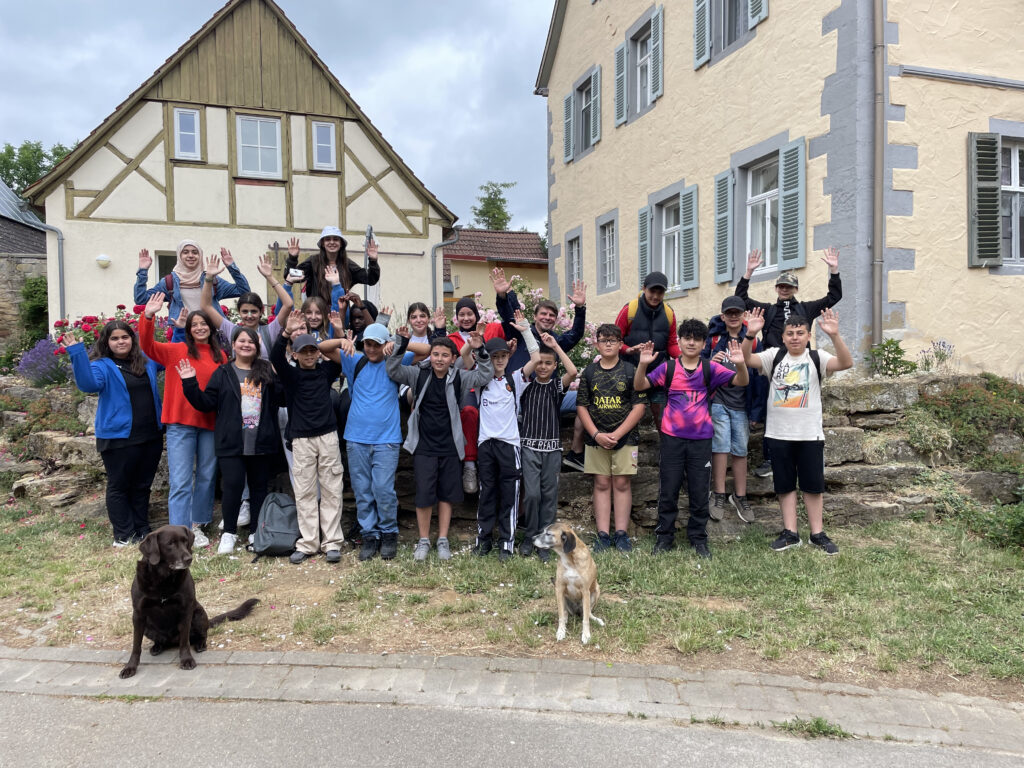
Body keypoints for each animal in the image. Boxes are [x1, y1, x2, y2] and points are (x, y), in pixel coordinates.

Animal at [119, 525, 259, 679]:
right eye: (170, 543)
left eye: (185, 541)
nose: (189, 558)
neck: (164, 578)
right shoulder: (138, 614)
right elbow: (136, 646)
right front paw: (130, 667)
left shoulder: (186, 610)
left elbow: (185, 641)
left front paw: (186, 660)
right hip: (148, 627)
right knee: (161, 641)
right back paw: (156, 647)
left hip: (198, 614)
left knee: (201, 635)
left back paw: (200, 645)